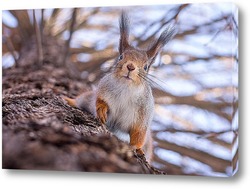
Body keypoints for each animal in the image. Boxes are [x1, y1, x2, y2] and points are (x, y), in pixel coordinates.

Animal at [63, 12, 175, 162]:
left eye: (146, 67)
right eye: (121, 56)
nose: (130, 67)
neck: (127, 88)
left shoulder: (143, 114)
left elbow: (139, 133)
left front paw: (136, 148)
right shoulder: (103, 88)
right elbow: (100, 99)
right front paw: (102, 108)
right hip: (87, 98)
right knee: (82, 99)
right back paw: (69, 100)